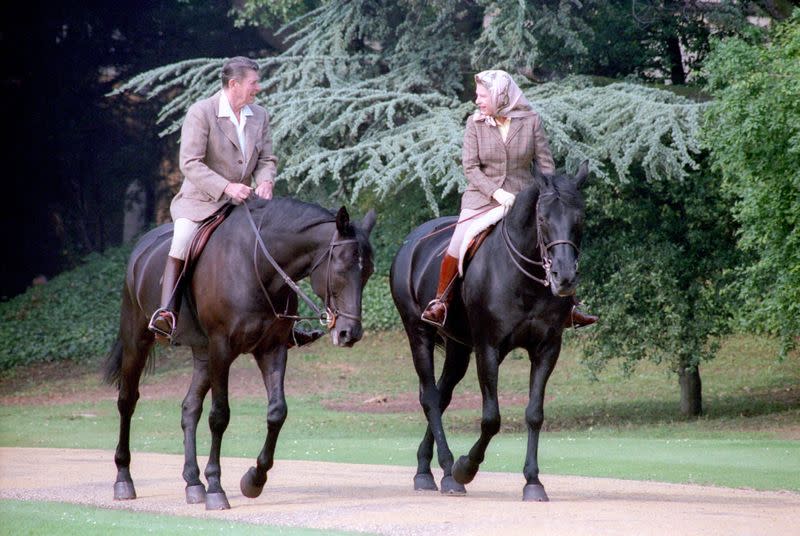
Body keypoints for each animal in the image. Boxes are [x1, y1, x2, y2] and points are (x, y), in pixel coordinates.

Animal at [103, 198, 376, 510]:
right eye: (341, 268)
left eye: (368, 272)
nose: (349, 333)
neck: (258, 266)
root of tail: (141, 247)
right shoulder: (222, 349)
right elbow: (220, 416)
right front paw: (216, 488)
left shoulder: (272, 349)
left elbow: (277, 412)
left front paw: (254, 480)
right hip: (138, 342)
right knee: (127, 401)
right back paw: (124, 478)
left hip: (203, 354)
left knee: (189, 408)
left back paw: (193, 482)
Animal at [390, 161, 592, 500]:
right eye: (542, 219)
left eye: (579, 218)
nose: (563, 277)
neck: (526, 281)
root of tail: (413, 240)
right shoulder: (488, 348)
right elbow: (491, 419)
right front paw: (466, 467)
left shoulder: (547, 348)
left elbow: (534, 414)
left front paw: (533, 482)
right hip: (418, 334)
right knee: (430, 397)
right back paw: (446, 471)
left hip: (458, 348)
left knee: (442, 396)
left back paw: (427, 469)